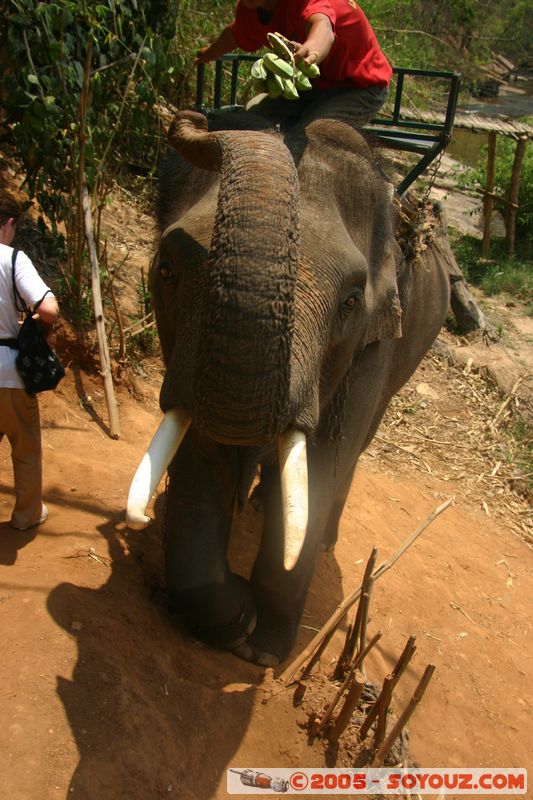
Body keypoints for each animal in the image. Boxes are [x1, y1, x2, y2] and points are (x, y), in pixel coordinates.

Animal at [127, 106, 450, 668]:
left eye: (350, 301)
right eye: (165, 269)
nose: (193, 118)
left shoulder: (371, 343)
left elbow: (321, 465)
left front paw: (262, 653)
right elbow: (201, 454)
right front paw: (235, 621)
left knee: (358, 447)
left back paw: (319, 540)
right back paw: (257, 503)